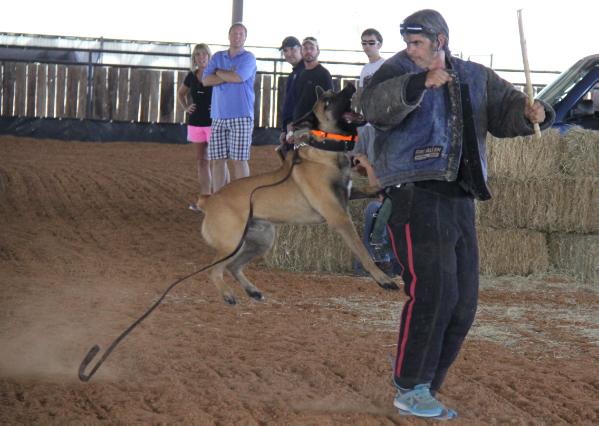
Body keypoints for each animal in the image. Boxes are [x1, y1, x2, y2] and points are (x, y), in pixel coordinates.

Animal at [195, 82, 400, 302]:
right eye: (328, 102)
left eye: (334, 92)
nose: (350, 85)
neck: (326, 149)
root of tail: (208, 199)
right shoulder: (340, 217)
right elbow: (363, 252)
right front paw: (383, 278)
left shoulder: (346, 195)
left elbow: (366, 188)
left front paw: (382, 187)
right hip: (232, 243)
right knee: (214, 270)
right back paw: (227, 294)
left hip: (261, 240)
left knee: (233, 266)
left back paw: (252, 290)